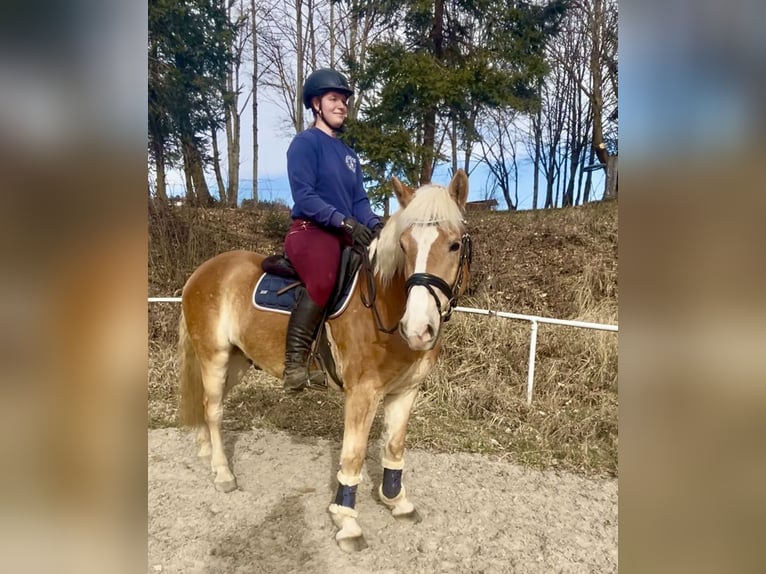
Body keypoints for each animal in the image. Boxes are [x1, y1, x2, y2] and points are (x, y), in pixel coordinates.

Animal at [179, 170, 474, 552]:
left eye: (454, 245)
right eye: (404, 246)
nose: (418, 329)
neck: (384, 303)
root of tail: (202, 271)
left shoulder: (405, 391)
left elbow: (394, 446)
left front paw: (397, 501)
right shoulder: (362, 393)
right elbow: (353, 454)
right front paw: (346, 521)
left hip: (237, 360)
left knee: (204, 403)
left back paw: (205, 450)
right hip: (213, 356)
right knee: (214, 409)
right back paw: (222, 472)